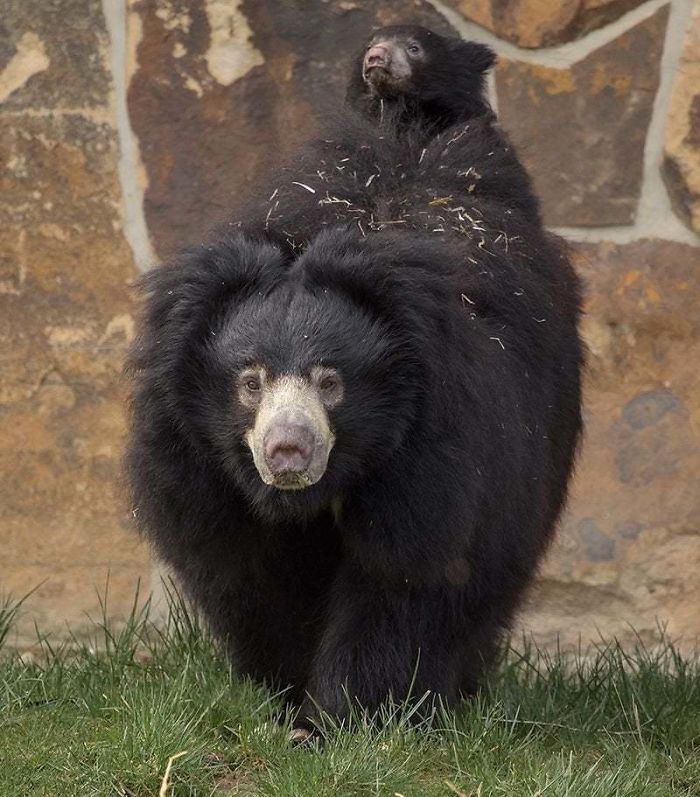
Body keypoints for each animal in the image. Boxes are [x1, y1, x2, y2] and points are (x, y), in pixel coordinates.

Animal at [126, 26, 584, 735]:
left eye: (330, 382)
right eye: (251, 382)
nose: (287, 451)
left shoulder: (437, 455)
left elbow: (406, 580)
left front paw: (349, 718)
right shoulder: (197, 474)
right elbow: (250, 573)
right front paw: (287, 701)